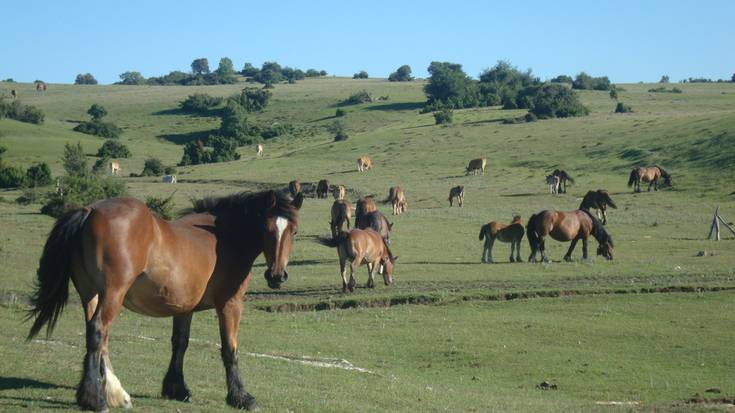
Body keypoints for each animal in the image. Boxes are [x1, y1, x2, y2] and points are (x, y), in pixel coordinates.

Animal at [25, 190, 302, 408]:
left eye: (294, 231)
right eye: (266, 229)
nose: (277, 276)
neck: (223, 236)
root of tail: (90, 211)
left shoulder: (184, 307)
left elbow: (180, 343)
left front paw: (176, 388)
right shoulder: (230, 304)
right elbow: (230, 349)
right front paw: (241, 397)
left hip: (90, 294)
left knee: (99, 339)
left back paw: (114, 394)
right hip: (112, 294)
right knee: (98, 331)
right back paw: (96, 399)